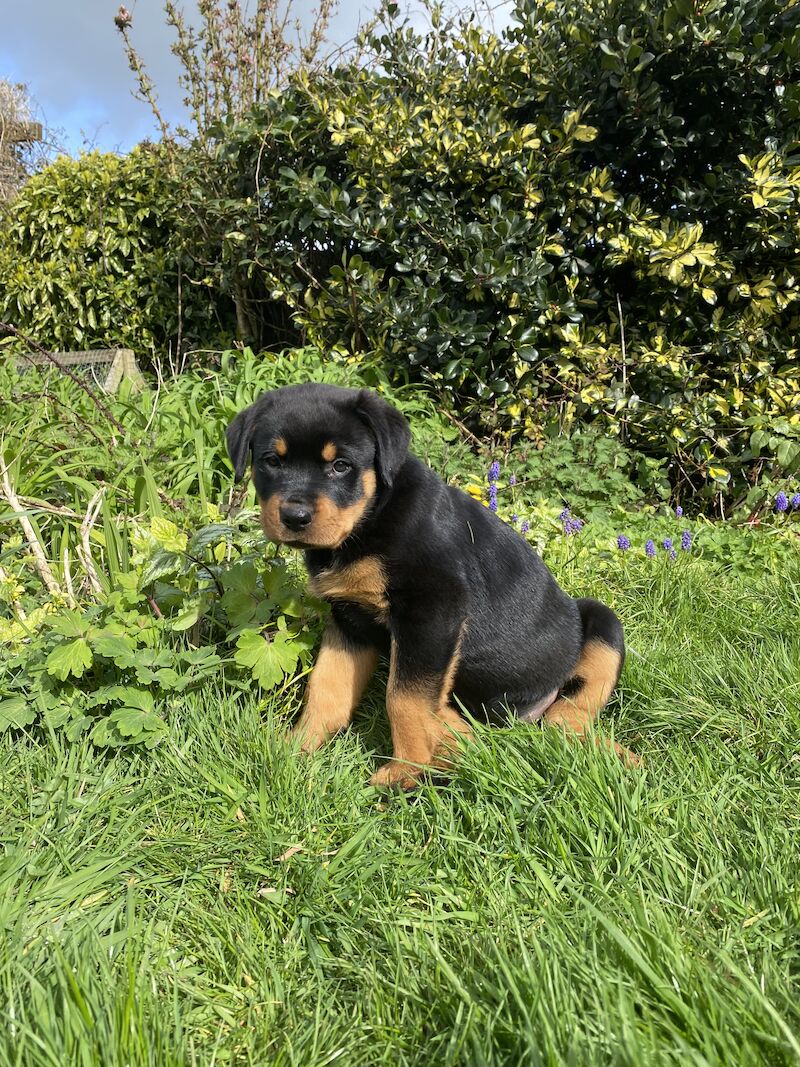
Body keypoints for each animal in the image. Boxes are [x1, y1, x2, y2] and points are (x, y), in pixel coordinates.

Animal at [227, 381, 640, 785]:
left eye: (340, 466)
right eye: (271, 461)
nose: (295, 516)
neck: (368, 522)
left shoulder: (433, 609)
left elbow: (404, 697)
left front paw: (406, 771)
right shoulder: (350, 618)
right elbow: (327, 686)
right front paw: (295, 749)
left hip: (602, 623)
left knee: (569, 717)